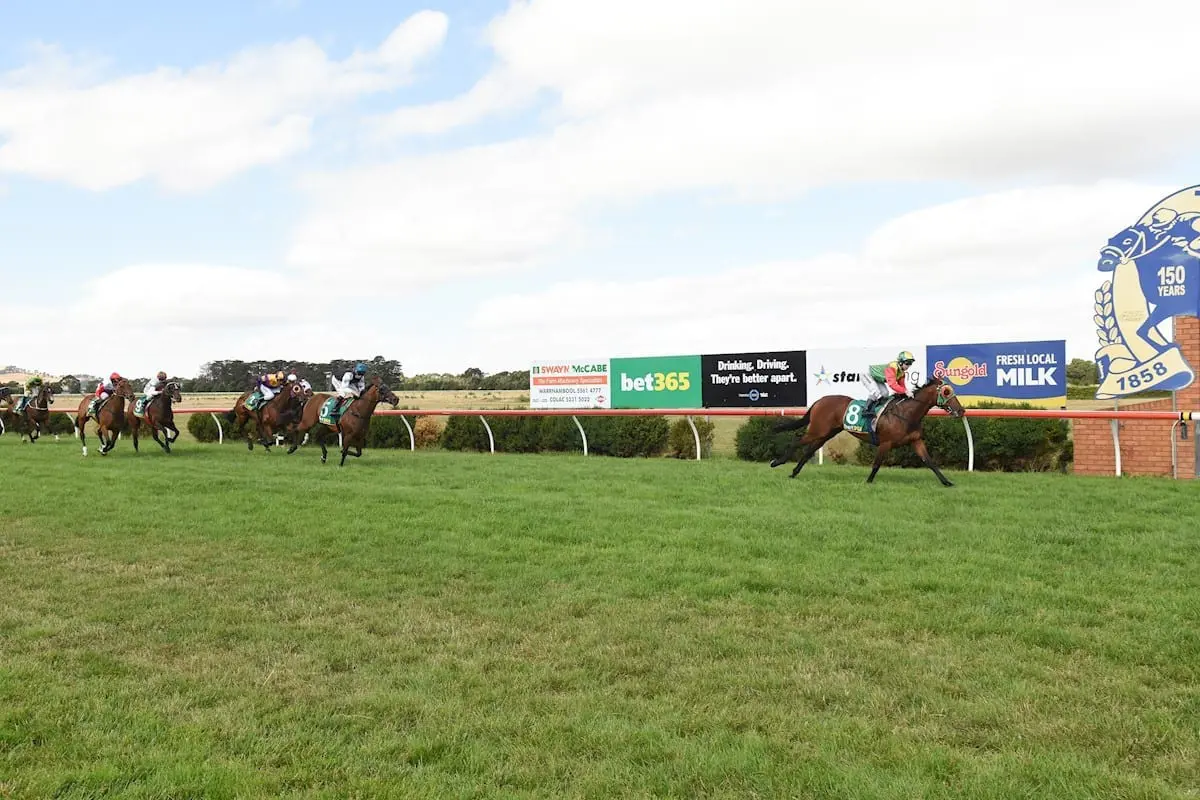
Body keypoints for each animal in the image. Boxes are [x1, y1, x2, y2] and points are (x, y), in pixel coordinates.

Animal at [768, 376, 964, 489]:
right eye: (947, 392)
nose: (961, 411)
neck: (906, 414)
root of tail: (819, 401)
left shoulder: (916, 441)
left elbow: (930, 462)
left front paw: (947, 482)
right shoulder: (885, 443)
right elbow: (876, 464)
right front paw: (868, 482)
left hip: (827, 433)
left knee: (809, 451)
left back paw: (794, 472)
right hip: (818, 430)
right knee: (797, 440)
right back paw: (777, 462)